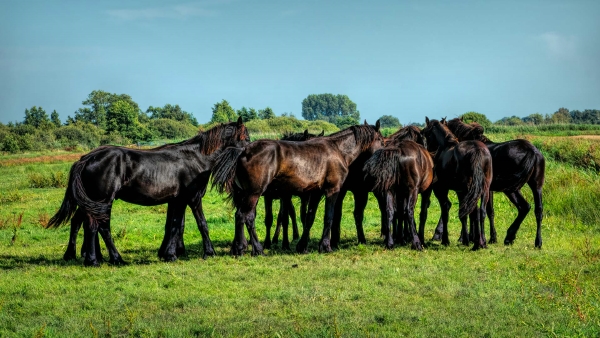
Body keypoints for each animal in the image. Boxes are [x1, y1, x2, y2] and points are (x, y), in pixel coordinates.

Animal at [47, 117, 251, 266]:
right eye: (246, 138)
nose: (251, 152)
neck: (196, 157)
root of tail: (87, 159)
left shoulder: (176, 200)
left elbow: (174, 225)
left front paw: (169, 254)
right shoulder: (193, 198)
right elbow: (201, 224)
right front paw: (208, 252)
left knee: (88, 225)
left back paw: (93, 259)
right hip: (103, 201)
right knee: (99, 227)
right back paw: (111, 259)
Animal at [210, 121, 380, 256]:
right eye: (380, 139)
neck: (338, 149)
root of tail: (243, 151)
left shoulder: (316, 193)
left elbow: (309, 218)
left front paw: (302, 246)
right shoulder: (332, 191)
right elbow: (329, 217)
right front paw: (325, 246)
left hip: (246, 195)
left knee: (243, 216)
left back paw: (246, 248)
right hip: (254, 194)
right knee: (245, 216)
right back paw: (251, 249)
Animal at [418, 117, 492, 250]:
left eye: (424, 133)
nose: (428, 150)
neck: (446, 145)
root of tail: (477, 150)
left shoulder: (443, 189)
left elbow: (446, 211)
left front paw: (446, 240)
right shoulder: (460, 191)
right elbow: (463, 214)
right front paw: (465, 240)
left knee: (474, 212)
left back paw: (477, 243)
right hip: (484, 189)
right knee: (481, 212)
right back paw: (482, 242)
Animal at [434, 117, 548, 247]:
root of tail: (531, 151)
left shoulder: (483, 189)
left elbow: (482, 210)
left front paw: (475, 238)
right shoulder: (487, 190)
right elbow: (486, 211)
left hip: (511, 189)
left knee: (524, 207)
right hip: (535, 186)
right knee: (533, 209)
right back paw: (531, 240)